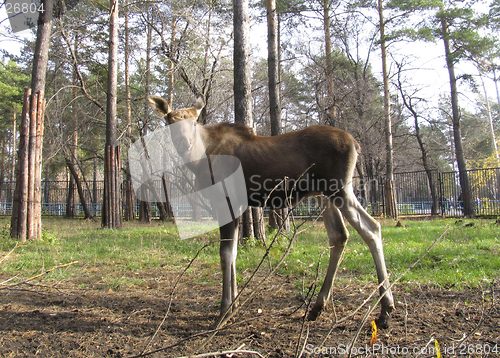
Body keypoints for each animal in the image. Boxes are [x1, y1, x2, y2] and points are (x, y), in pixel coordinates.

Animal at [147, 94, 394, 328]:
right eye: (170, 122)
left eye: (194, 122)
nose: (184, 142)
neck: (200, 158)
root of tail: (355, 143)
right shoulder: (238, 204)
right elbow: (233, 252)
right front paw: (234, 305)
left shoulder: (226, 200)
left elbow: (225, 254)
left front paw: (224, 311)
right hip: (325, 196)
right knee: (340, 236)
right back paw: (318, 306)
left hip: (340, 189)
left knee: (372, 228)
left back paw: (385, 309)